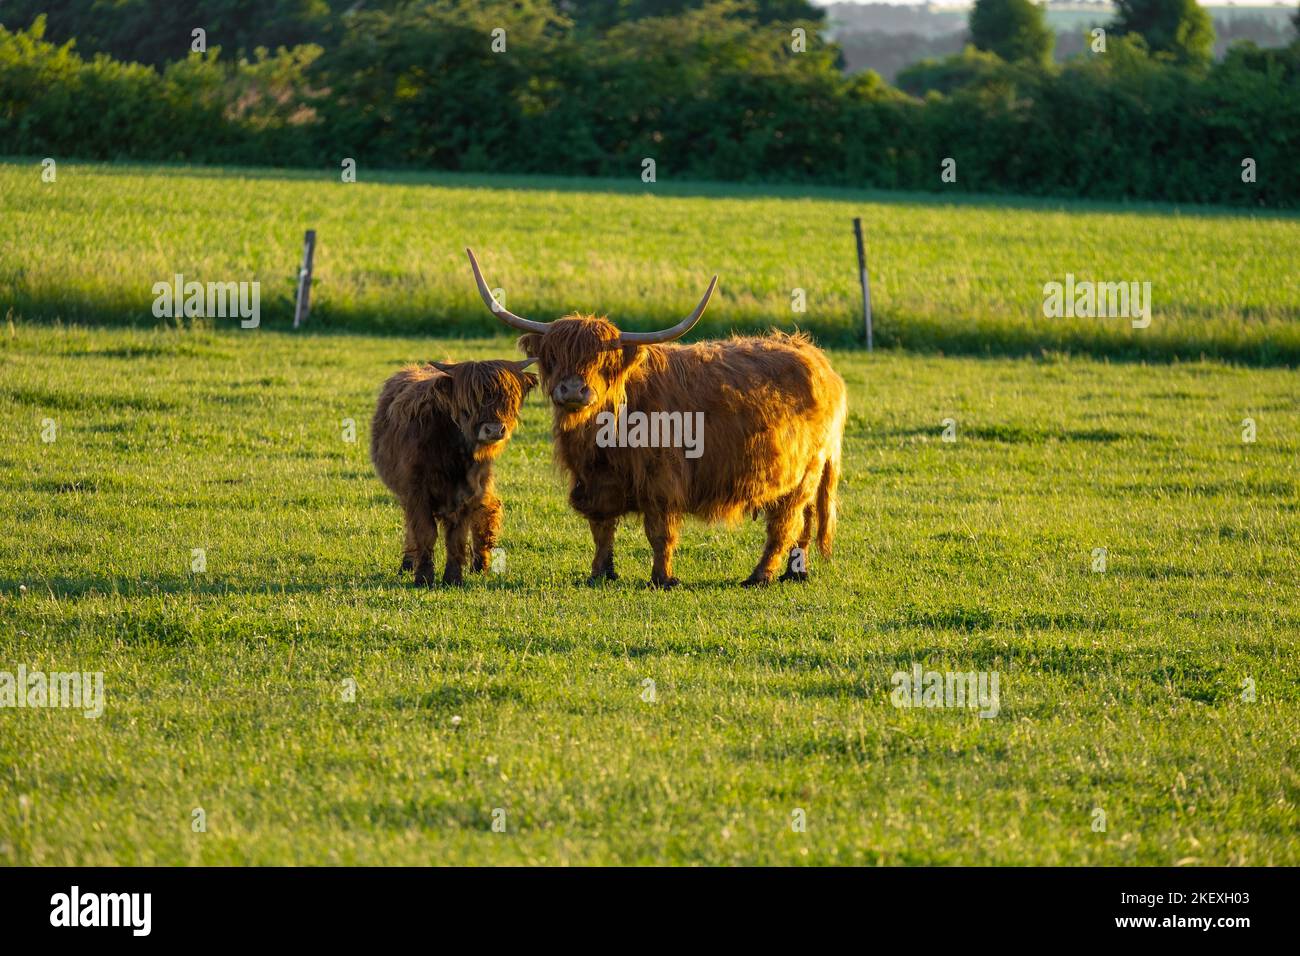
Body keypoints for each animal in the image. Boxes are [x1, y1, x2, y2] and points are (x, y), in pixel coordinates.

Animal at [371, 356, 538, 587]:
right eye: (471, 401)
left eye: (507, 398)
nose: (494, 430)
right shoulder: (416, 492)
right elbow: (425, 532)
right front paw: (423, 577)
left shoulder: (469, 492)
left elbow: (457, 536)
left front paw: (453, 578)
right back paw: (407, 564)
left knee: (488, 510)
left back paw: (480, 565)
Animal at [465, 247, 842, 590]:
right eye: (552, 356)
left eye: (601, 362)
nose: (572, 389)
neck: (603, 438)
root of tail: (814, 355)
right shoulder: (594, 483)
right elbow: (602, 529)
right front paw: (600, 573)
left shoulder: (662, 480)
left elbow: (660, 532)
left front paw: (663, 578)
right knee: (806, 518)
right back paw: (796, 573)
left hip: (804, 472)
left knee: (785, 522)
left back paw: (759, 576)